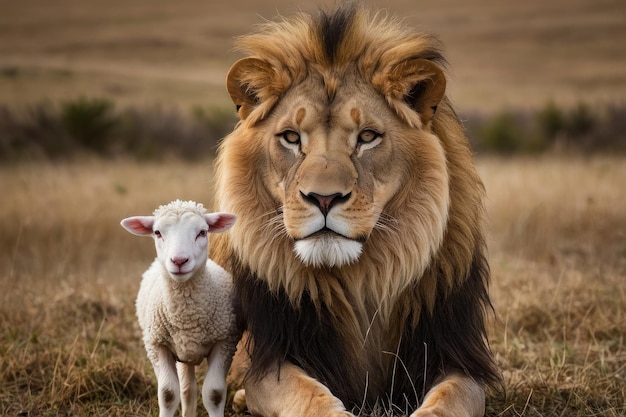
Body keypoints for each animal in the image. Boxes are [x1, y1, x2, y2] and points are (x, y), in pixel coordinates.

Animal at [120, 200, 239, 414]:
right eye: (157, 232)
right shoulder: (157, 346)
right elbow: (168, 394)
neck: (187, 317)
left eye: (202, 232)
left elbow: (214, 394)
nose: (179, 261)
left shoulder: (225, 343)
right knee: (187, 390)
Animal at [212, 4, 500, 416]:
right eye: (291, 137)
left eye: (367, 137)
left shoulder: (456, 356)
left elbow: (448, 399)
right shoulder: (271, 361)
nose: (324, 198)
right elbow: (308, 395)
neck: (361, 280)